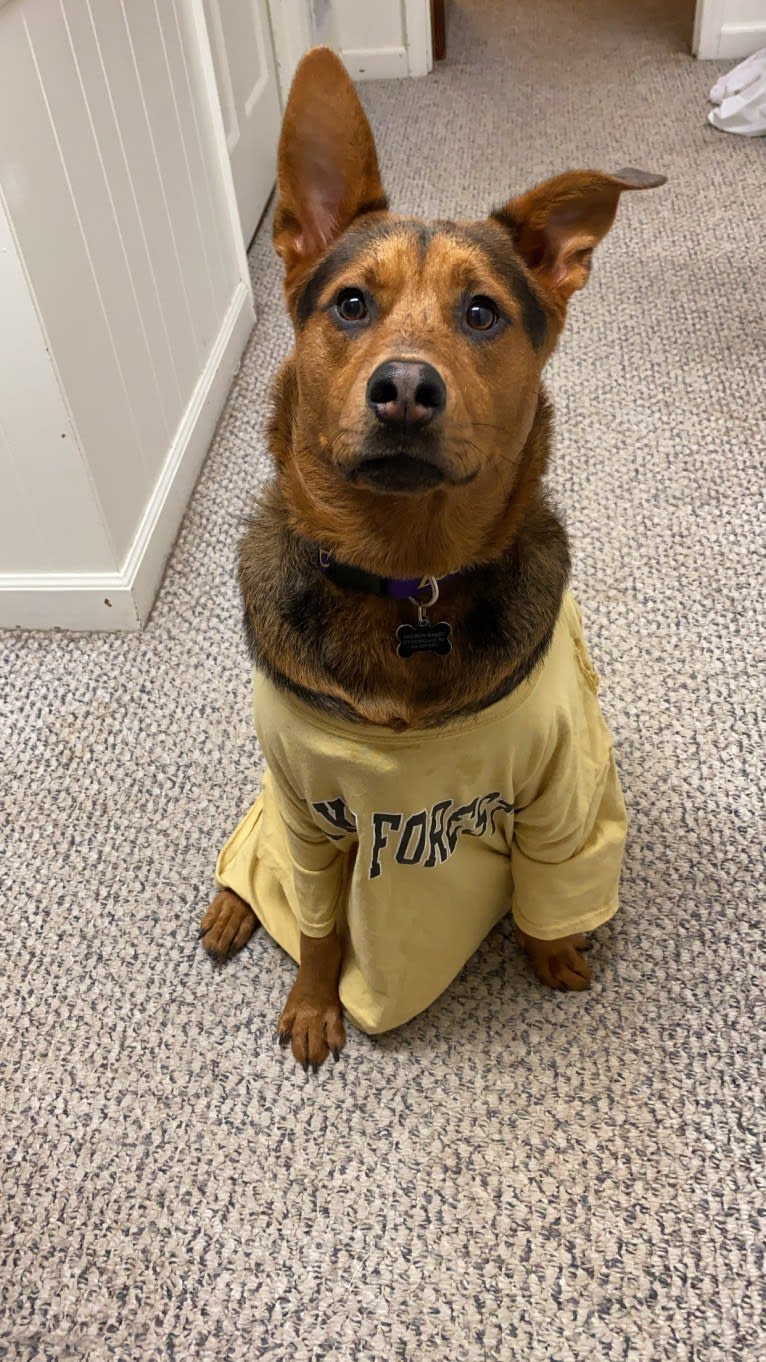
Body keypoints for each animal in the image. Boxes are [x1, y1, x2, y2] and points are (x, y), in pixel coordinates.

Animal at [197, 48, 662, 1067]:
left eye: (482, 314)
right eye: (351, 304)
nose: (406, 387)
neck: (407, 576)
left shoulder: (560, 794)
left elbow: (545, 894)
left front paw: (551, 952)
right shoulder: (305, 812)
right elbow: (319, 925)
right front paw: (314, 1003)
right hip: (272, 812)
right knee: (251, 856)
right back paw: (230, 906)